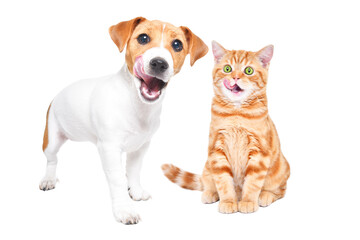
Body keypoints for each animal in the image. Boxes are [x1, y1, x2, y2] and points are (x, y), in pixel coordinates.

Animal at [39, 17, 208, 225]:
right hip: (52, 139)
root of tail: (57, 94)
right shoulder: (109, 148)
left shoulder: (140, 147)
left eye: (177, 45)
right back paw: (48, 179)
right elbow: (118, 179)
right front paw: (124, 210)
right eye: (143, 38)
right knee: (52, 159)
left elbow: (134, 171)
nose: (159, 63)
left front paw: (135, 191)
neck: (136, 104)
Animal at [162, 41, 292, 214]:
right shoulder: (217, 150)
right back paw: (211, 193)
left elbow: (253, 182)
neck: (236, 113)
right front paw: (228, 201)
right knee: (209, 182)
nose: (235, 77)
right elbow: (223, 181)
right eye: (227, 69)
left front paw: (248, 201)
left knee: (280, 191)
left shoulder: (259, 153)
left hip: (282, 169)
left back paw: (265, 196)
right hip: (207, 166)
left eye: (248, 71)